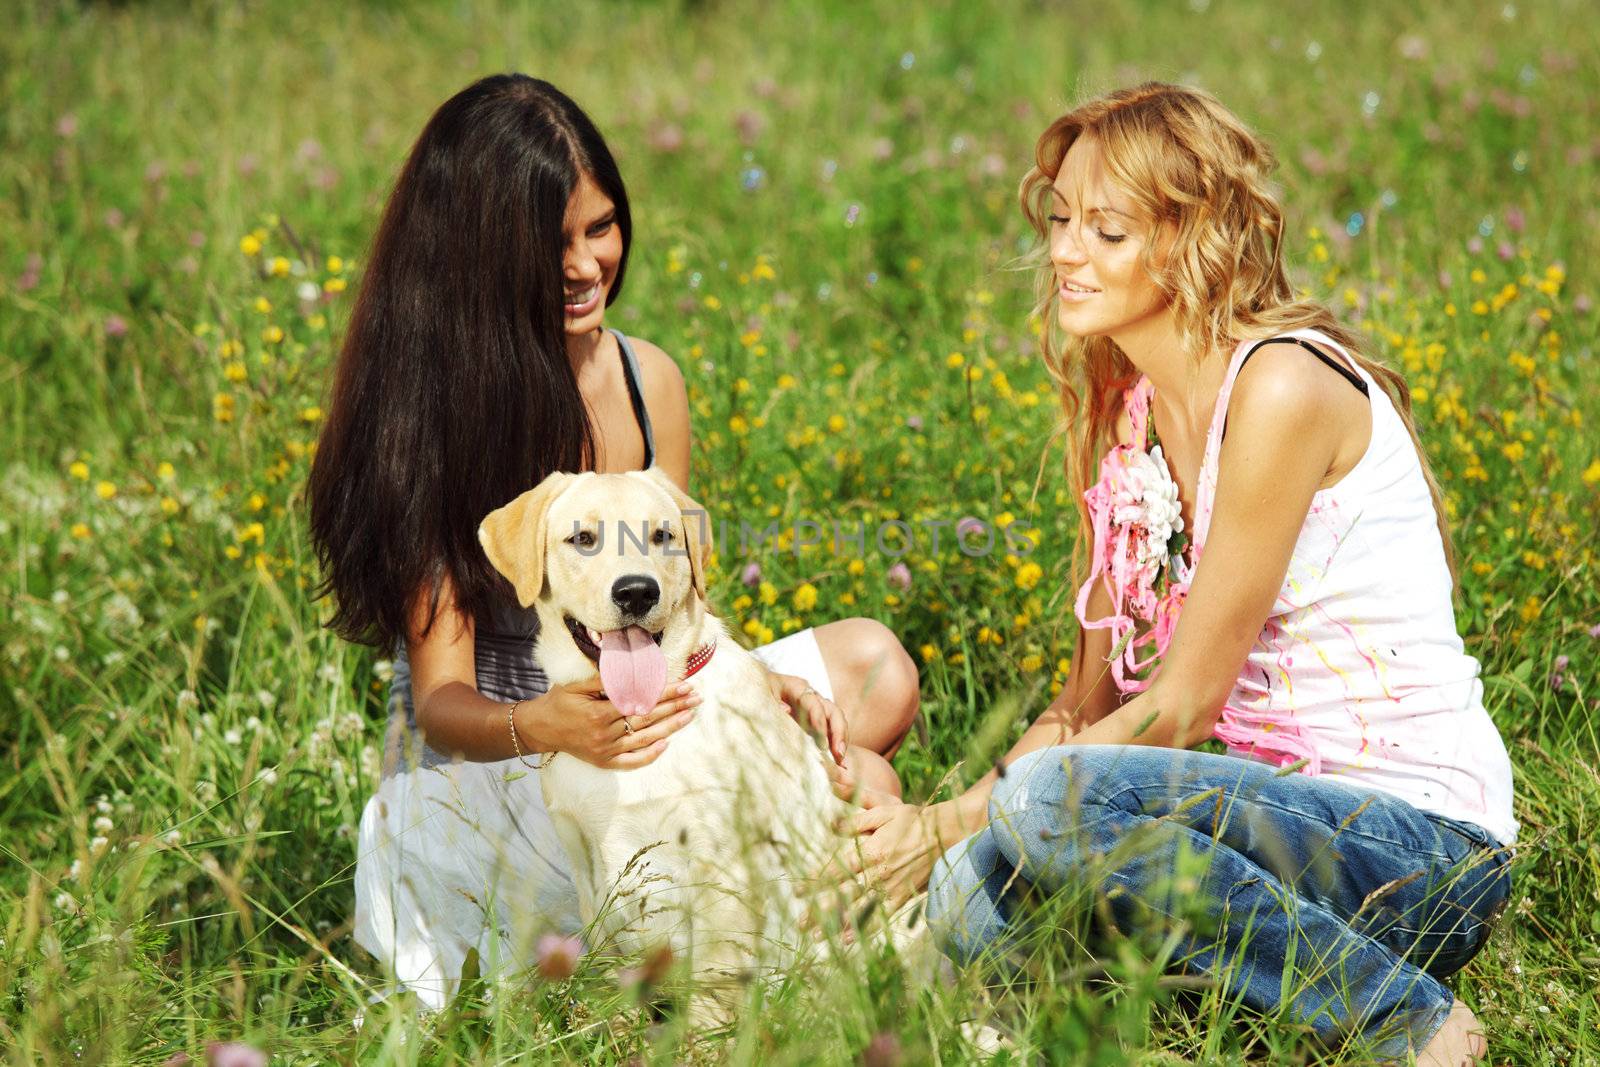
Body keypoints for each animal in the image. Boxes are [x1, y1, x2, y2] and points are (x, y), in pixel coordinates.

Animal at [476, 467, 864, 1017]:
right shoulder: (586, 864)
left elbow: (712, 987)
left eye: (662, 536)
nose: (637, 592)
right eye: (583, 539)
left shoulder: (720, 868)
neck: (635, 715)